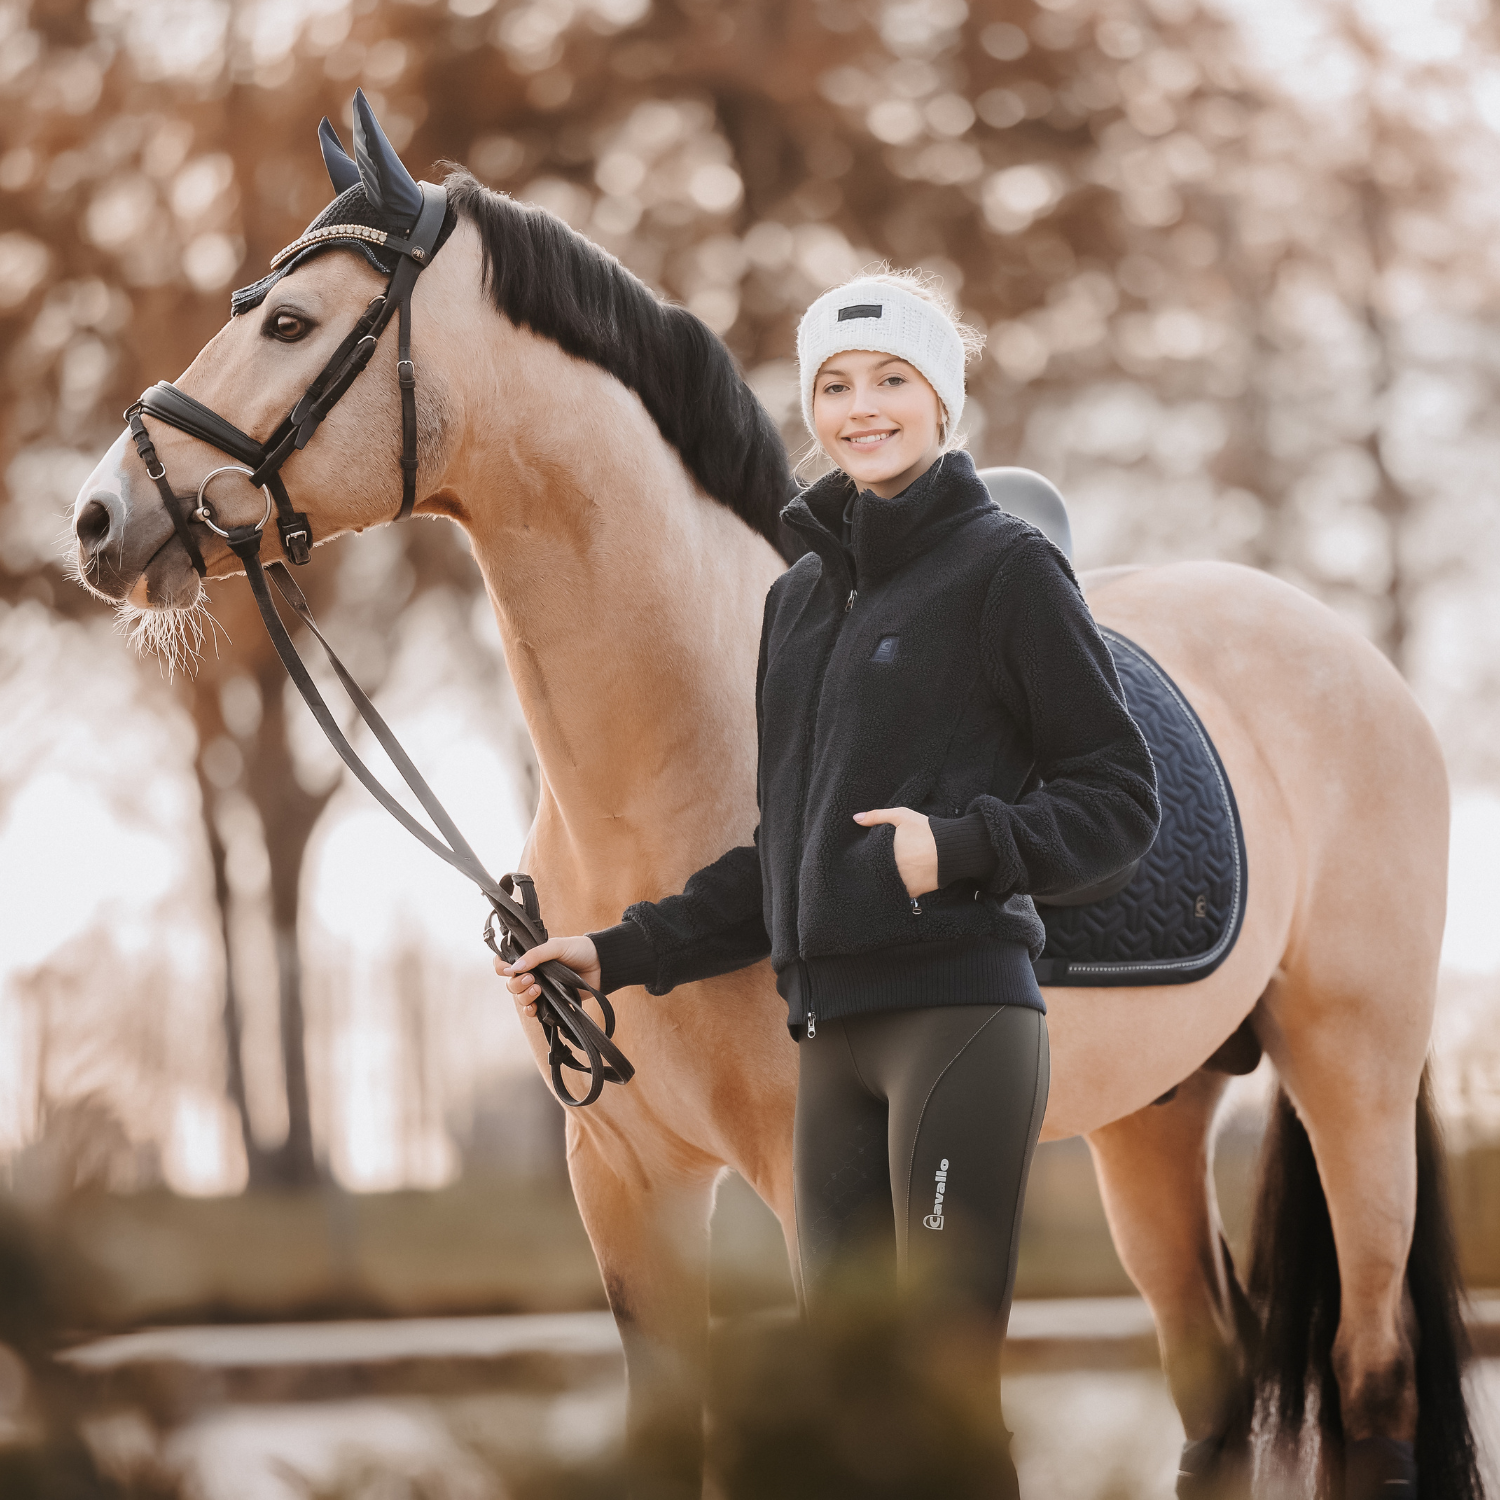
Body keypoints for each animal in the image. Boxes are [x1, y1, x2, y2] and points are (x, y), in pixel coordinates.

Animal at [69, 124, 1476, 1500]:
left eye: (289, 321)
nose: (97, 517)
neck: (675, 757)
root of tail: (1363, 668)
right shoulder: (625, 1185)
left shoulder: (816, 1200)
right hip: (1154, 1119)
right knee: (1214, 1392)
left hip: (1351, 1081)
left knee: (1372, 1374)